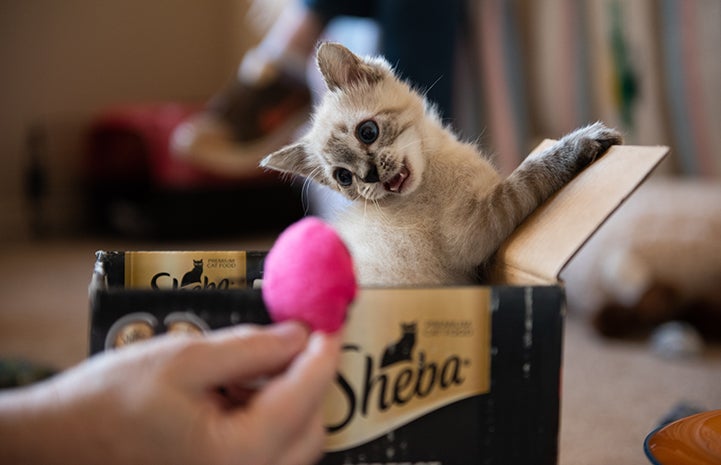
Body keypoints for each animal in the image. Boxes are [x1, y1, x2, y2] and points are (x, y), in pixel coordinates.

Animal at [262, 42, 620, 286]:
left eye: (367, 132)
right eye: (344, 178)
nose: (370, 175)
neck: (434, 161)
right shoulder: (480, 222)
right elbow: (529, 173)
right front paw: (586, 140)